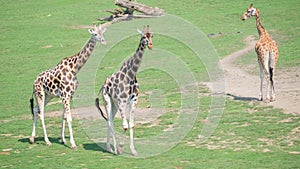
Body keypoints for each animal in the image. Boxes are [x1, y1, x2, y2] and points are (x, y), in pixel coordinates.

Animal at [95, 24, 154, 156]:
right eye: (143, 36)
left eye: (152, 35)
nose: (150, 45)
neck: (130, 75)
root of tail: (103, 85)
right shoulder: (122, 101)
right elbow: (125, 125)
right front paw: (121, 148)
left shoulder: (134, 100)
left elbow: (131, 124)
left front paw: (133, 150)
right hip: (107, 100)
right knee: (110, 121)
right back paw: (114, 149)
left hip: (114, 104)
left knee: (110, 119)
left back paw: (109, 147)